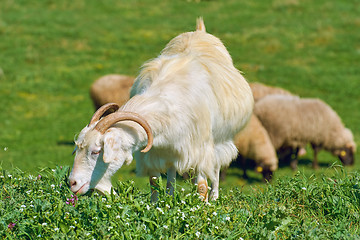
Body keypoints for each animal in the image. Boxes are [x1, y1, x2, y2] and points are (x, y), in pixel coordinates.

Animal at [68, 17, 253, 201]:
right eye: (77, 149)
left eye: (96, 151)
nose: (72, 183)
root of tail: (200, 30)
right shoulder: (152, 153)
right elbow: (154, 183)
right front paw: (156, 205)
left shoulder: (199, 151)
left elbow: (202, 186)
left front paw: (203, 206)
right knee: (172, 172)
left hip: (220, 141)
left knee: (216, 168)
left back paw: (214, 197)